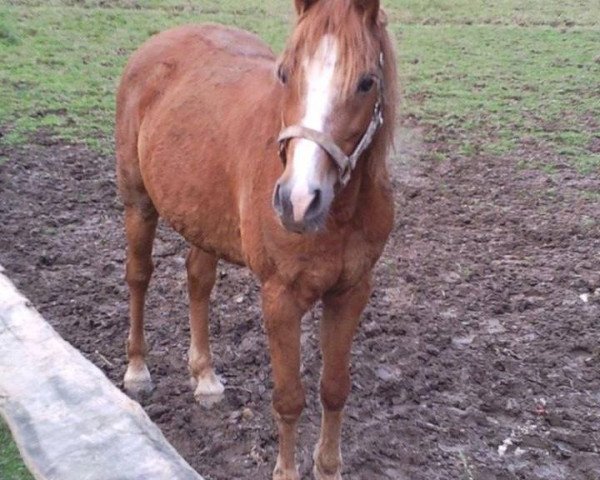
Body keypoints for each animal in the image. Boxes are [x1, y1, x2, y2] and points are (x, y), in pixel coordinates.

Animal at [117, 0, 398, 480]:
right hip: (139, 203)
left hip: (202, 217)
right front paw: (286, 471)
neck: (339, 215)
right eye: (285, 73)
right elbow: (288, 399)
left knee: (198, 281)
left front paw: (328, 467)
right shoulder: (280, 299)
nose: (298, 201)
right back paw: (137, 370)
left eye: (366, 82)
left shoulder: (350, 292)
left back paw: (205, 377)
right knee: (139, 275)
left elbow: (334, 388)